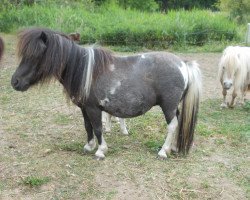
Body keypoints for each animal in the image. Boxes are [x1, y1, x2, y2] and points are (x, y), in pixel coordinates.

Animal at [12, 28, 203, 159]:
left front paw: (100, 150)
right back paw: (173, 148)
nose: (15, 82)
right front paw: (89, 146)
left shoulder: (93, 108)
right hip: (173, 107)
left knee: (172, 125)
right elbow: (87, 126)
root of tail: (183, 64)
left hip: (168, 106)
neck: (84, 70)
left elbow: (97, 127)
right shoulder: (84, 108)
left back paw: (163, 151)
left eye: (36, 55)